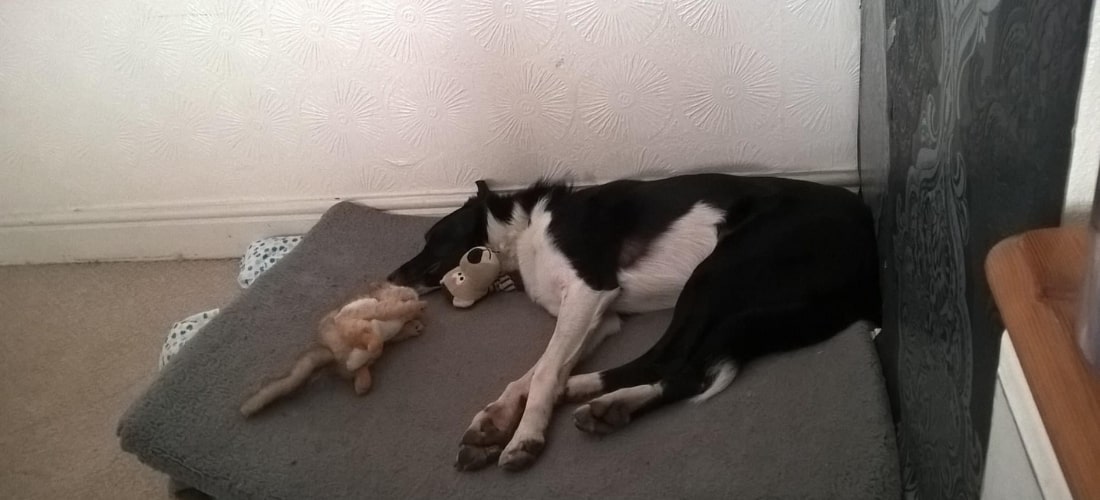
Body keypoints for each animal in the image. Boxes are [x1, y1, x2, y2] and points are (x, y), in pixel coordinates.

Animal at [391, 174, 880, 474]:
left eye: (431, 237)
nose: (390, 279)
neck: (525, 227)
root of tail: (869, 255)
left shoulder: (589, 291)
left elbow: (546, 372)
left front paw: (524, 436)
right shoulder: (600, 318)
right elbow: (534, 373)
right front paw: (494, 421)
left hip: (717, 271)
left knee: (678, 362)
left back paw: (603, 399)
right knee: (682, 364)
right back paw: (599, 397)